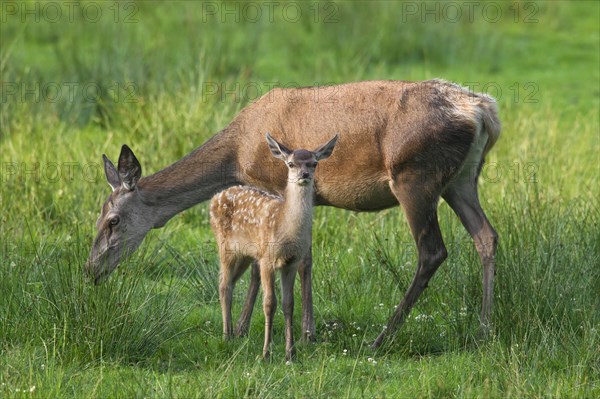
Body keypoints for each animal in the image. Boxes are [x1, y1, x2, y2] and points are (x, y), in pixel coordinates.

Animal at [213, 133, 338, 360]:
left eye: (314, 163)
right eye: (291, 164)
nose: (305, 174)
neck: (285, 229)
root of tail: (216, 198)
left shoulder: (291, 262)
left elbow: (289, 304)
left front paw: (291, 353)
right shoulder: (266, 258)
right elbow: (269, 303)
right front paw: (266, 353)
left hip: (245, 254)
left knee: (229, 282)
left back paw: (232, 333)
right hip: (225, 246)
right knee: (224, 284)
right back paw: (226, 336)